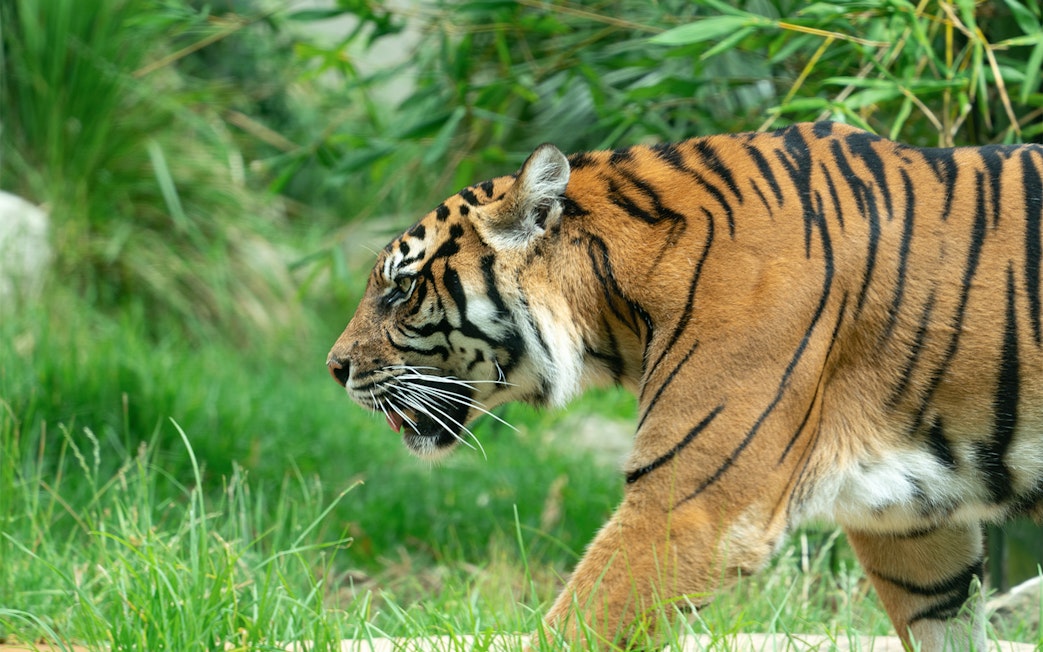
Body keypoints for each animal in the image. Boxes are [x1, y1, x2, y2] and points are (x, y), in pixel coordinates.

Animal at [326, 121, 1043, 651]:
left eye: (401, 288)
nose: (334, 368)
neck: (618, 303)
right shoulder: (912, 519)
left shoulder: (692, 502)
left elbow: (578, 622)